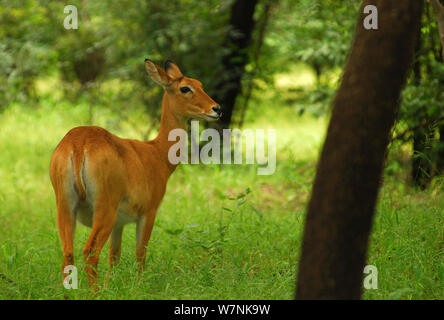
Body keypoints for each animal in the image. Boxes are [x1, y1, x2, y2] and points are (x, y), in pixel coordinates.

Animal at [50, 59, 222, 288]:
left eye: (200, 84)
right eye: (185, 88)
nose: (216, 108)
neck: (158, 154)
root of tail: (78, 144)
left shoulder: (119, 223)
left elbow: (114, 257)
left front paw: (111, 286)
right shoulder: (149, 211)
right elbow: (140, 253)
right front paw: (139, 286)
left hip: (65, 203)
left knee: (68, 253)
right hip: (105, 205)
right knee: (90, 251)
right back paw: (94, 291)